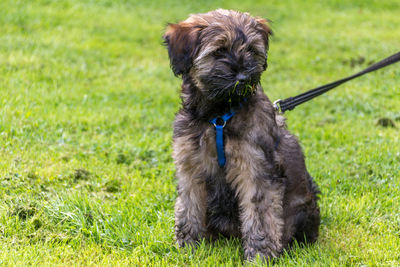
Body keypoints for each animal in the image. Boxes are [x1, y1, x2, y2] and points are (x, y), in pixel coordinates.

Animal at [163, 8, 322, 262]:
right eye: (219, 51)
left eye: (251, 50)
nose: (243, 77)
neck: (219, 117)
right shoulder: (190, 167)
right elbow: (188, 208)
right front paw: (188, 247)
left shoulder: (255, 170)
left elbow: (260, 216)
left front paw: (259, 256)